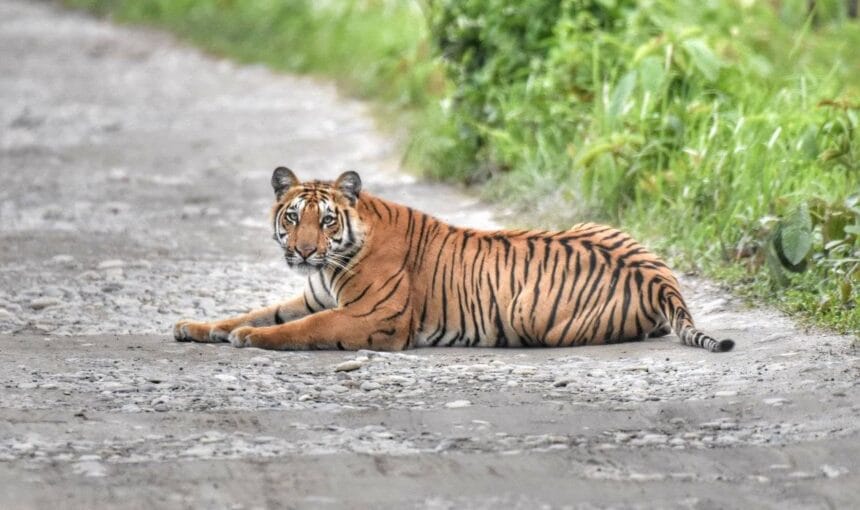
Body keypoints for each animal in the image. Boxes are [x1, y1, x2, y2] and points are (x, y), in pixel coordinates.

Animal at [174, 166, 735, 353]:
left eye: (326, 221)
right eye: (292, 217)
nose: (304, 250)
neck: (332, 264)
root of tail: (662, 279)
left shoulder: (371, 319)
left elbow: (300, 329)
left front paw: (250, 339)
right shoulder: (312, 295)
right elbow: (254, 312)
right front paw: (196, 327)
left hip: (533, 316)